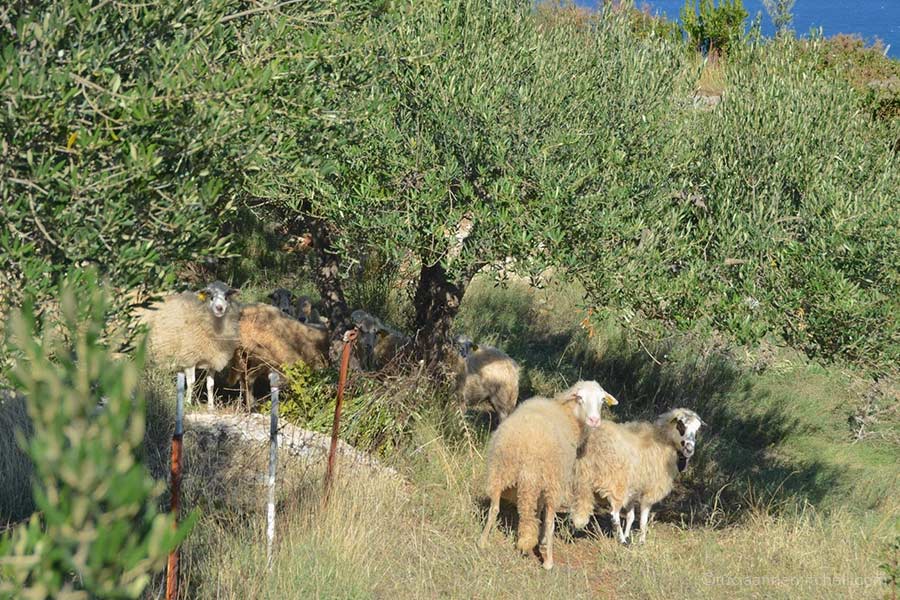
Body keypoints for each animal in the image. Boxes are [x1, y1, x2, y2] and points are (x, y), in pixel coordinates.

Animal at [134, 281, 241, 409]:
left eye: (226, 296)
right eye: (210, 296)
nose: (219, 308)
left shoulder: (212, 360)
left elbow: (210, 385)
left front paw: (211, 406)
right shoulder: (190, 358)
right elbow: (191, 382)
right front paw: (188, 403)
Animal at [478, 380, 619, 570]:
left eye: (602, 400)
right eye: (580, 398)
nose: (594, 420)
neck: (569, 414)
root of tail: (528, 455)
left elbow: (537, 509)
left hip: (500, 470)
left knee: (494, 508)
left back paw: (483, 541)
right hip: (553, 481)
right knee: (550, 521)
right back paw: (548, 561)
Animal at [569, 408, 706, 544]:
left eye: (697, 430)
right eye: (681, 425)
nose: (689, 449)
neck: (664, 440)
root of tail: (592, 446)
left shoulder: (632, 491)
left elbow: (631, 516)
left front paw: (628, 535)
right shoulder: (649, 491)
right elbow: (643, 521)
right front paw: (641, 541)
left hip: (580, 482)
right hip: (616, 484)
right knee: (614, 515)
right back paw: (622, 541)